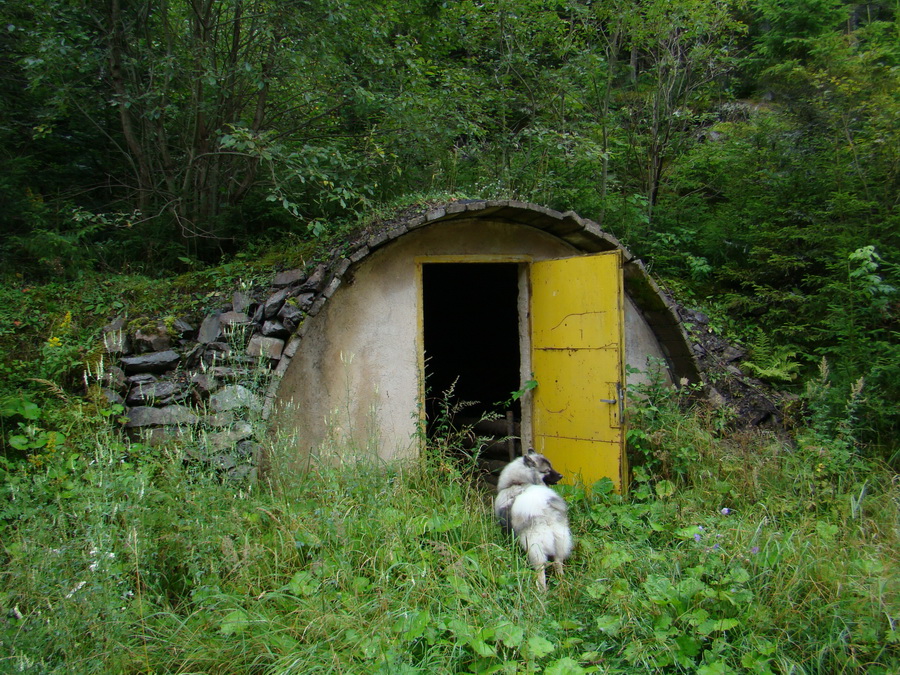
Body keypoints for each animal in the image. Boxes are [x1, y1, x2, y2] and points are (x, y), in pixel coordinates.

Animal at [496, 452, 572, 588]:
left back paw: (541, 589)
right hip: (560, 542)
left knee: (540, 571)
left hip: (535, 548)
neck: (518, 482)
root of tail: (545, 511)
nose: (561, 475)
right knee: (558, 563)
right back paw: (561, 581)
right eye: (548, 470)